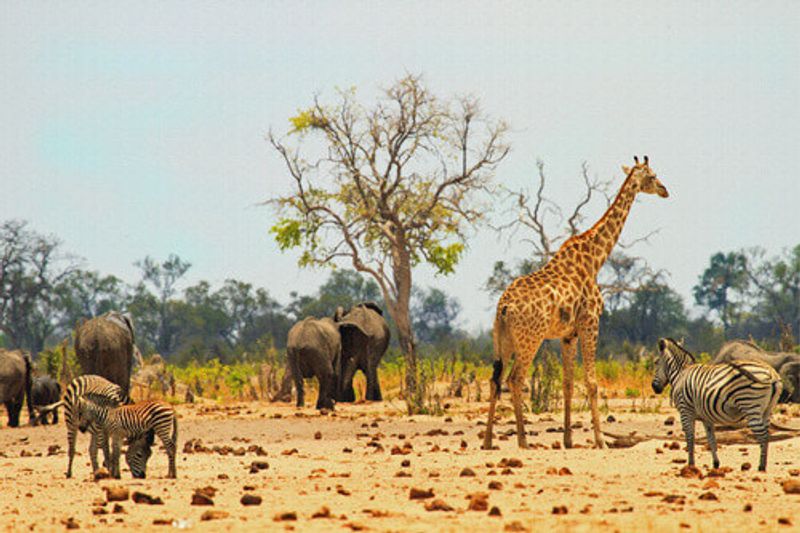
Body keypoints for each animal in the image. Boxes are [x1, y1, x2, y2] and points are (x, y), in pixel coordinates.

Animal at [482, 155, 668, 448]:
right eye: (651, 175)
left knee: (495, 380)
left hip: (502, 339)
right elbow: (591, 382)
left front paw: (569, 440)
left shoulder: (567, 334)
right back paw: (523, 441)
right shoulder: (590, 322)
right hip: (530, 339)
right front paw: (601, 441)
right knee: (515, 379)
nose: (664, 189)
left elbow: (568, 383)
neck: (595, 258)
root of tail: (504, 306)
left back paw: (488, 441)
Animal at [648, 336, 780, 470]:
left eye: (656, 362)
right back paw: (763, 465)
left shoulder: (685, 412)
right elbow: (711, 439)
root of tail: (771, 372)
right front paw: (716, 464)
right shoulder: (706, 417)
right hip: (767, 411)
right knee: (766, 435)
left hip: (750, 406)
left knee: (763, 435)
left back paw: (761, 467)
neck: (680, 374)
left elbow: (690, 438)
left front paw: (691, 465)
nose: (654, 388)